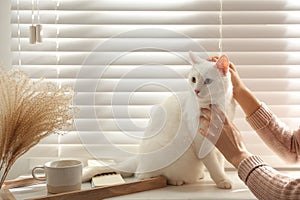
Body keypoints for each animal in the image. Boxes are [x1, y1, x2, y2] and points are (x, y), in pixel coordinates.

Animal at [83, 52, 236, 189]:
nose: (196, 90)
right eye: (193, 79)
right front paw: (222, 180)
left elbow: (220, 162)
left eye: (208, 81)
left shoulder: (219, 142)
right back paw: (175, 180)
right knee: (143, 175)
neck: (215, 106)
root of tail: (139, 157)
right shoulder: (200, 141)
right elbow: (213, 165)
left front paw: (221, 177)